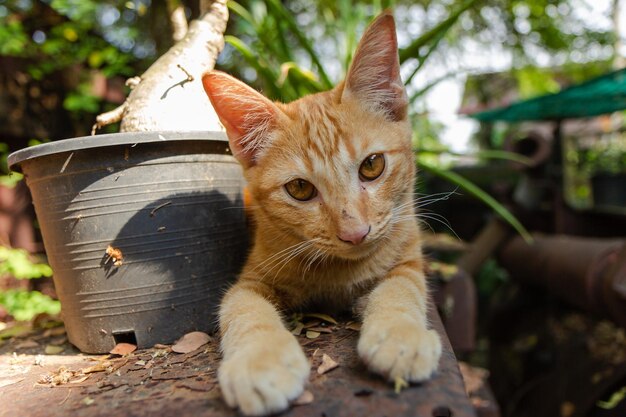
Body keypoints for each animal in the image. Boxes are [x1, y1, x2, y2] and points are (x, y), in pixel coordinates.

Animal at [202, 11, 442, 414]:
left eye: (372, 166)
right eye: (300, 189)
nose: (355, 233)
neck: (338, 274)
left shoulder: (407, 261)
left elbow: (400, 289)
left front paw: (400, 335)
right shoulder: (250, 280)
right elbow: (243, 308)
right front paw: (260, 362)